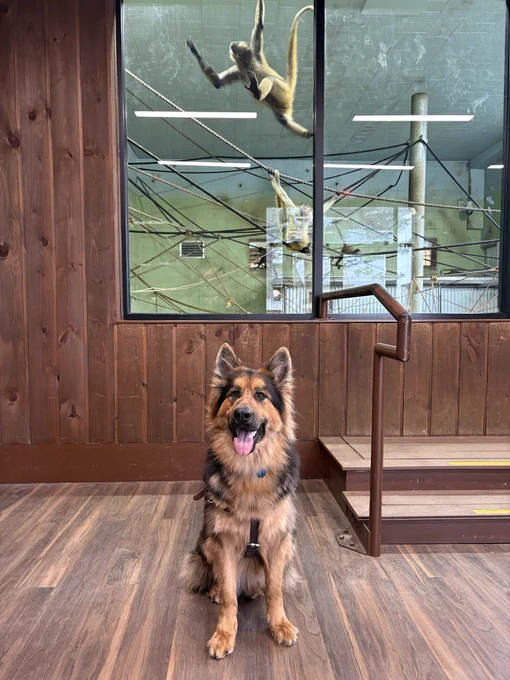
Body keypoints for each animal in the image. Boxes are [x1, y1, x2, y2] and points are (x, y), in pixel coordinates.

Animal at [187, 0, 313, 138]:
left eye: (237, 43)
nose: (233, 43)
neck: (245, 63)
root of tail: (288, 86)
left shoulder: (254, 53)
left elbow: (259, 24)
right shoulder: (239, 70)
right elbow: (218, 83)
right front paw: (195, 51)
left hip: (283, 89)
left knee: (271, 79)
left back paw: (257, 92)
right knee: (283, 119)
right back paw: (307, 133)